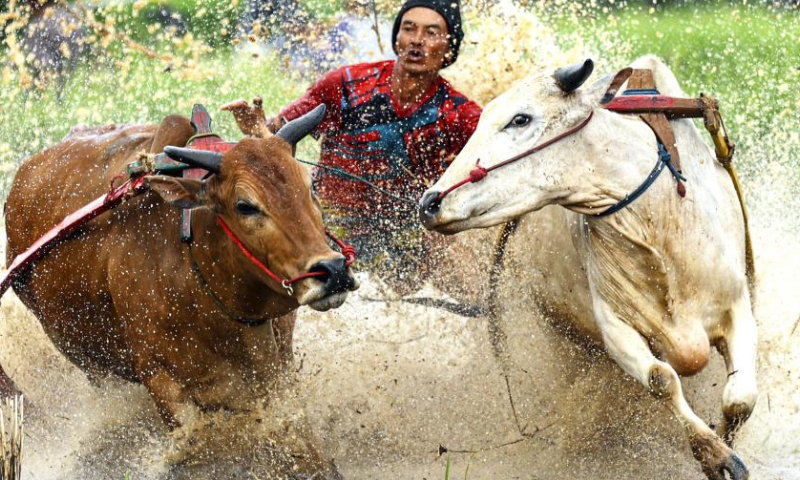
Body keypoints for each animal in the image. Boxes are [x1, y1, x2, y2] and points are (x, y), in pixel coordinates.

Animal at [2, 105, 358, 478]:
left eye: (310, 185)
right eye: (245, 205)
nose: (332, 270)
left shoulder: (278, 364)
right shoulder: (158, 377)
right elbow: (192, 440)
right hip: (80, 354)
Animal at [419, 55, 756, 480]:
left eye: (520, 119)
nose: (429, 202)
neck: (659, 223)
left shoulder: (738, 305)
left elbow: (739, 399)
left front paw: (726, 445)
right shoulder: (614, 326)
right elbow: (662, 379)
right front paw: (712, 451)